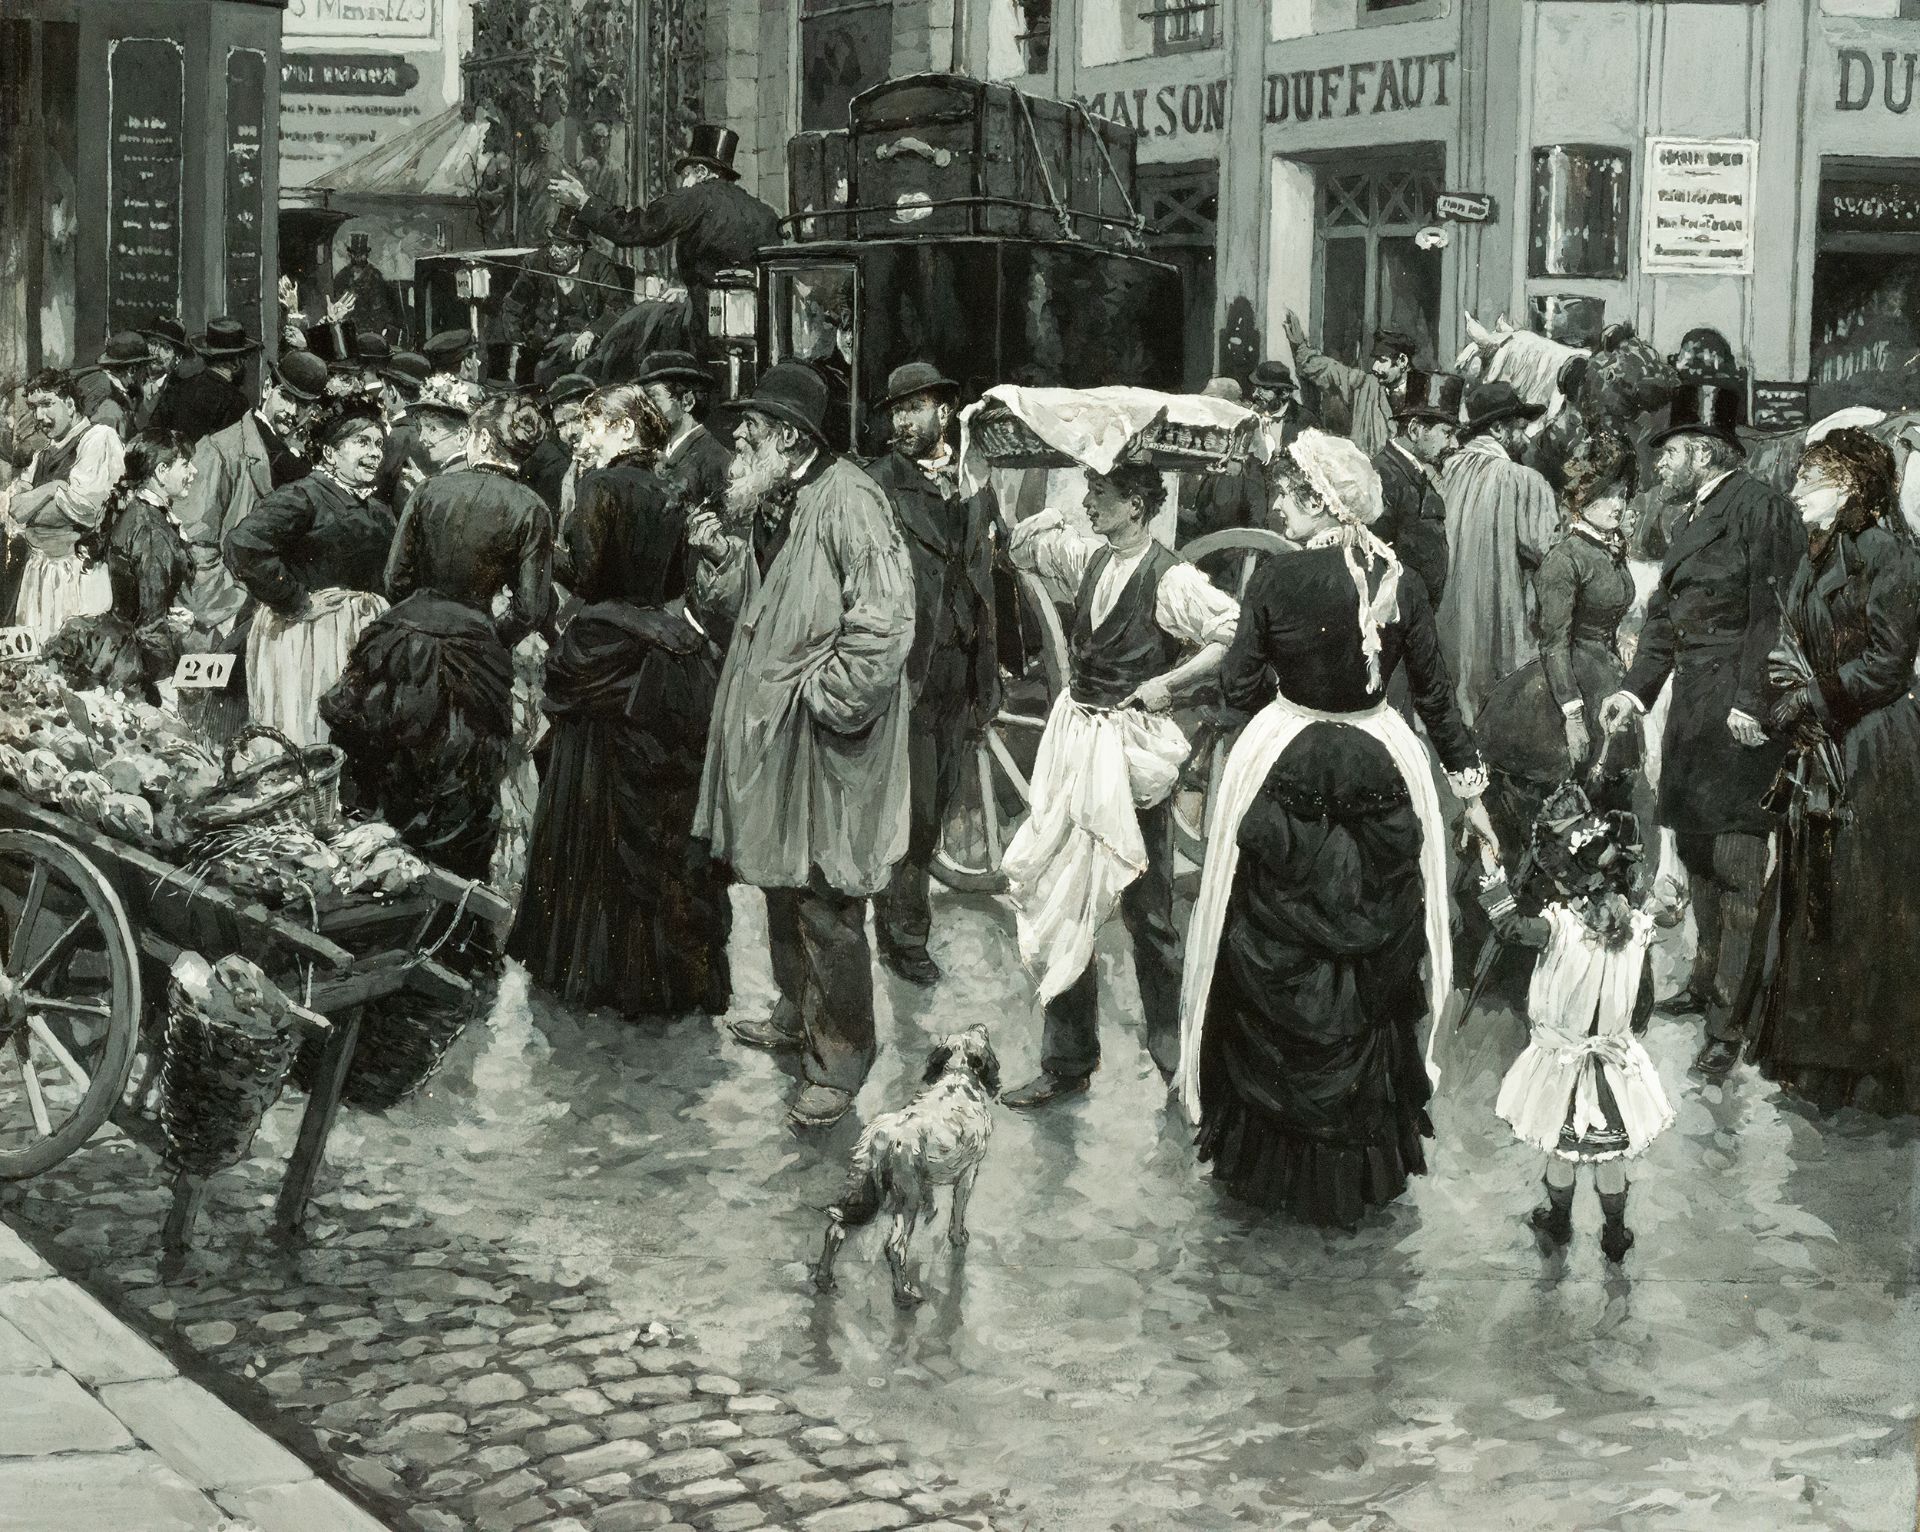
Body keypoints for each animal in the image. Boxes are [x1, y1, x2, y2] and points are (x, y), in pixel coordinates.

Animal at [810, 1029, 998, 1305]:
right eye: (978, 1035)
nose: (981, 1025)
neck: (957, 1078)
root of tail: (882, 1137)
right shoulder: (968, 1172)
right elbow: (958, 1209)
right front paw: (958, 1237)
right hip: (906, 1197)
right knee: (895, 1247)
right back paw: (905, 1293)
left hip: (860, 1189)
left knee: (836, 1230)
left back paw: (824, 1278)